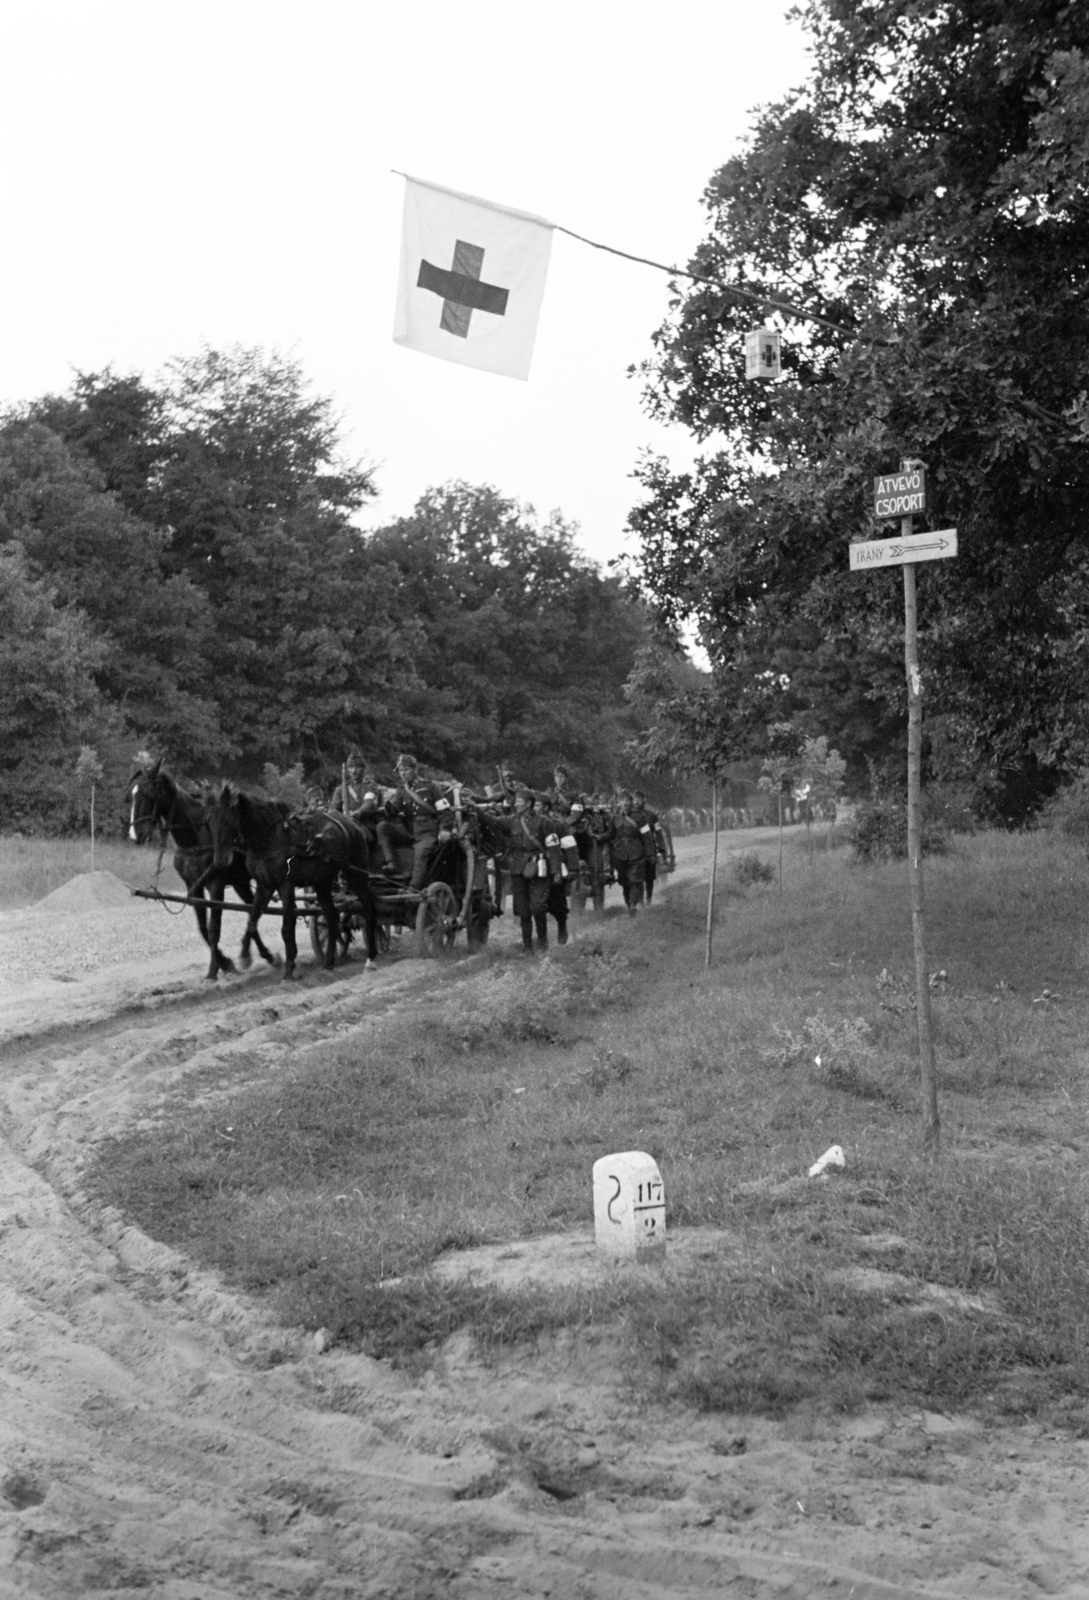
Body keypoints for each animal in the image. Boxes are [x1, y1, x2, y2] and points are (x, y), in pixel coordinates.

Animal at [127, 758, 276, 979]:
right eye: (133, 795)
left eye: (148, 795)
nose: (135, 834)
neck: (195, 838)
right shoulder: (193, 886)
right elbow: (203, 928)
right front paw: (226, 963)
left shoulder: (216, 885)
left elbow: (214, 929)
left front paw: (214, 970)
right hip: (240, 882)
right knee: (252, 910)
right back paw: (265, 955)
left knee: (257, 909)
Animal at [203, 784, 377, 979]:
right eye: (208, 822)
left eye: (226, 820)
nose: (220, 860)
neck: (269, 837)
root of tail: (352, 823)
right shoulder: (265, 886)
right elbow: (252, 921)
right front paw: (245, 957)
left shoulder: (286, 885)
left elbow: (286, 928)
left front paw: (288, 970)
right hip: (322, 883)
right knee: (332, 918)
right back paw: (328, 963)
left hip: (357, 873)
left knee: (368, 910)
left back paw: (371, 958)